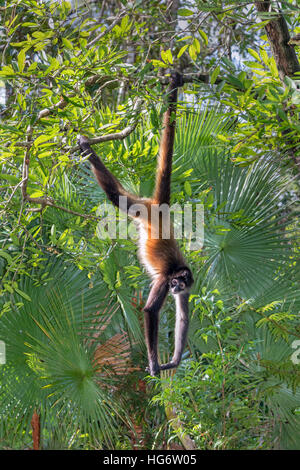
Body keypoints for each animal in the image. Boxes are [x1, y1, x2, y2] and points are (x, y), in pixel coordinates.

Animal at [78, 72, 193, 374]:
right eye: (174, 282)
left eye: (181, 285)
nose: (175, 288)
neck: (177, 269)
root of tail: (161, 208)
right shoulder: (163, 279)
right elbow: (150, 311)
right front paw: (153, 362)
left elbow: (183, 317)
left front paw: (174, 360)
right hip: (142, 208)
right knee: (116, 197)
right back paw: (88, 150)